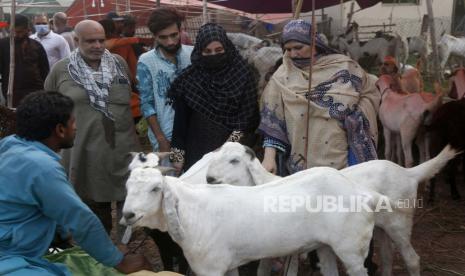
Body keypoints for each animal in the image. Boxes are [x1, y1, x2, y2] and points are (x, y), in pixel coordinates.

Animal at [122, 163, 388, 274]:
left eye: (156, 188)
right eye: (127, 187)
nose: (127, 215)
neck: (193, 213)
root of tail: (364, 194)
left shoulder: (211, 269)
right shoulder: (227, 266)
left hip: (352, 250)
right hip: (325, 247)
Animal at [206, 142, 456, 276]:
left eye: (235, 161)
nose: (209, 179)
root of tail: (408, 173)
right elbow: (262, 270)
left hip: (400, 224)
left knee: (412, 258)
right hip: (382, 228)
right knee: (386, 257)